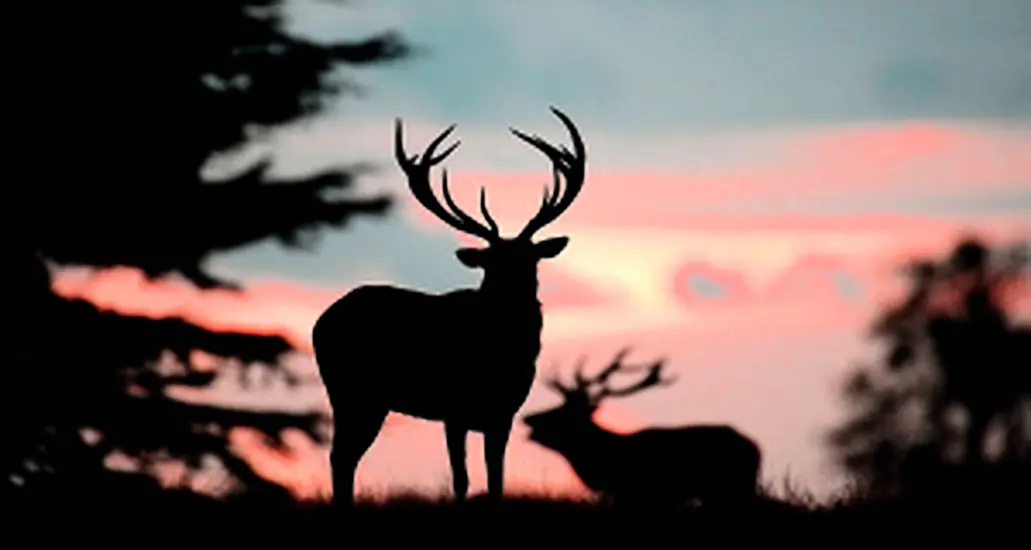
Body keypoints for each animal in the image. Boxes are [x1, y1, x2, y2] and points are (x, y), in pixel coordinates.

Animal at [311, 107, 589, 505]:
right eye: (492, 262)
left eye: (531, 258)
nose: (515, 290)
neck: (503, 358)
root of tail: (321, 322)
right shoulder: (453, 409)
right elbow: (462, 479)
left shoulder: (504, 412)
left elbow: (496, 479)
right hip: (352, 390)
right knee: (341, 456)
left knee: (343, 457)